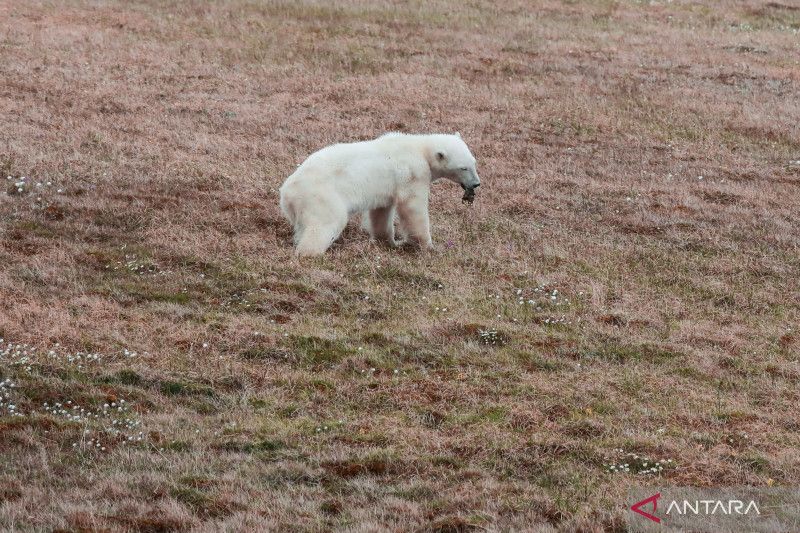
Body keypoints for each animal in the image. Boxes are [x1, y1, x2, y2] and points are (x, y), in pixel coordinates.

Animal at [282, 133, 482, 258]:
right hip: (322, 196)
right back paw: (310, 253)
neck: (419, 147)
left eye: (474, 162)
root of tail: (287, 194)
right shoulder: (413, 173)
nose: (476, 184)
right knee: (325, 223)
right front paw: (427, 246)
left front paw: (388, 242)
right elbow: (413, 207)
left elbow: (381, 211)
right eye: (463, 168)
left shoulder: (386, 187)